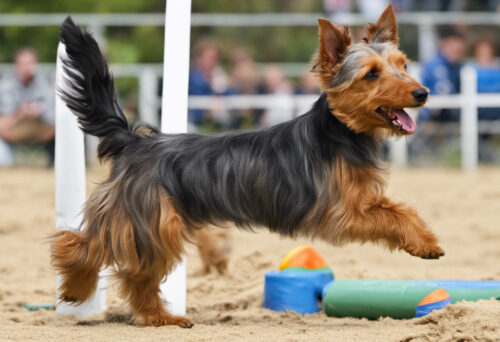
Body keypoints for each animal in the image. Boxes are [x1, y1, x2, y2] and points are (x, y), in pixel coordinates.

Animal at [52, 4, 444, 328]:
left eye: (403, 66)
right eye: (371, 75)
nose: (422, 92)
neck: (342, 131)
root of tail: (136, 141)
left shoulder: (358, 203)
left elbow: (400, 211)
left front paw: (424, 241)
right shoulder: (344, 211)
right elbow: (395, 214)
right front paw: (424, 244)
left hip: (153, 225)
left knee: (133, 273)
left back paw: (157, 318)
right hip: (148, 221)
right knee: (81, 245)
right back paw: (80, 289)